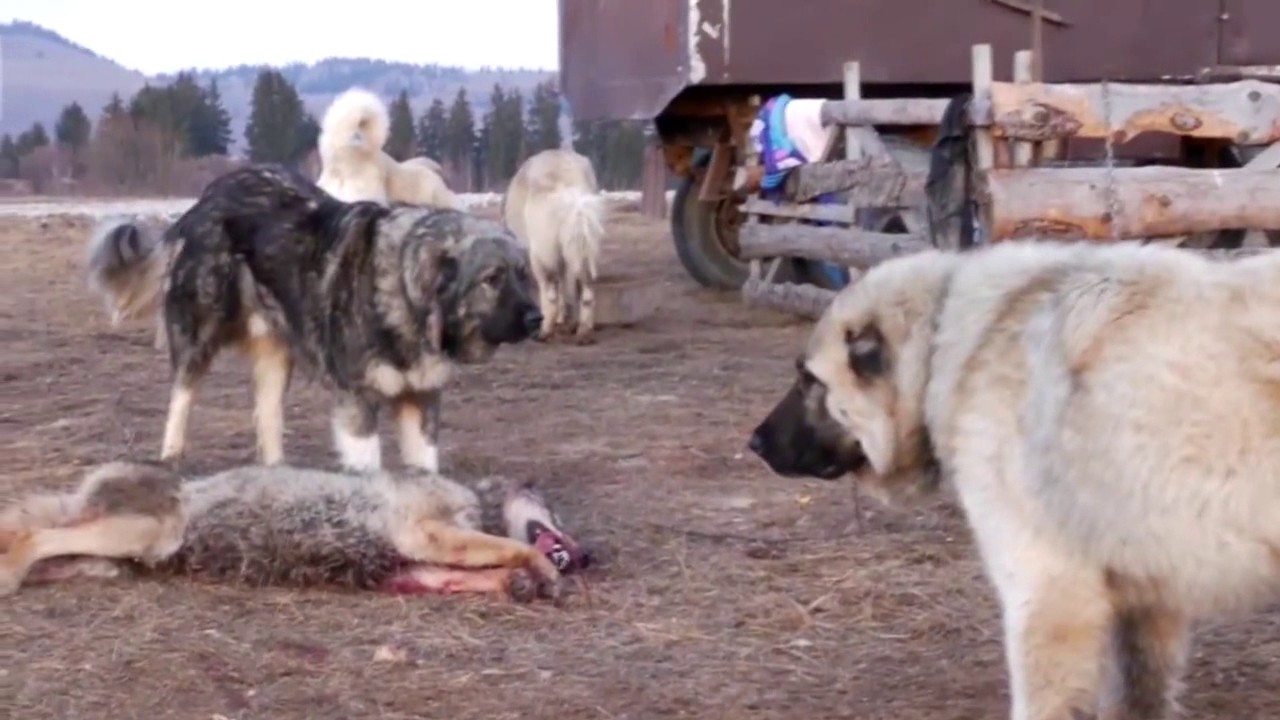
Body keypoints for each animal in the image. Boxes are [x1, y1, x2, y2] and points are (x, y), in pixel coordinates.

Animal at [499, 147, 604, 343]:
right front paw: (566, 320)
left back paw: (545, 330)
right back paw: (583, 330)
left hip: (542, 256)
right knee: (584, 290)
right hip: (584, 249)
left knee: (550, 294)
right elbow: (564, 286)